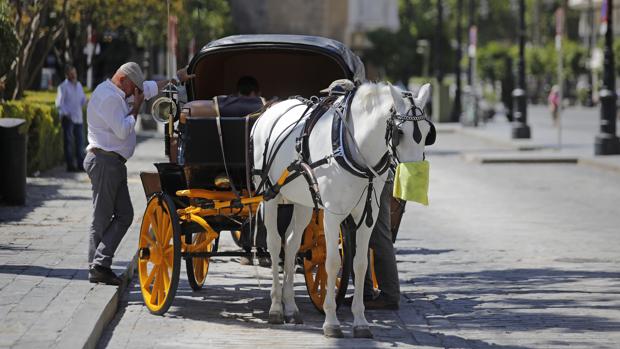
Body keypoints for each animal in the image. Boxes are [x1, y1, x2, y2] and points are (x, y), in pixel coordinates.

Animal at [252, 81, 436, 338]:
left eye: (428, 134)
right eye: (399, 133)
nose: (415, 178)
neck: (354, 149)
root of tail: (271, 108)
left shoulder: (368, 215)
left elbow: (360, 264)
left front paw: (360, 322)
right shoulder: (331, 215)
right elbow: (331, 263)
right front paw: (331, 321)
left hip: (302, 202)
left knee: (291, 244)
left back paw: (291, 307)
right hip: (270, 195)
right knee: (275, 243)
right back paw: (276, 307)